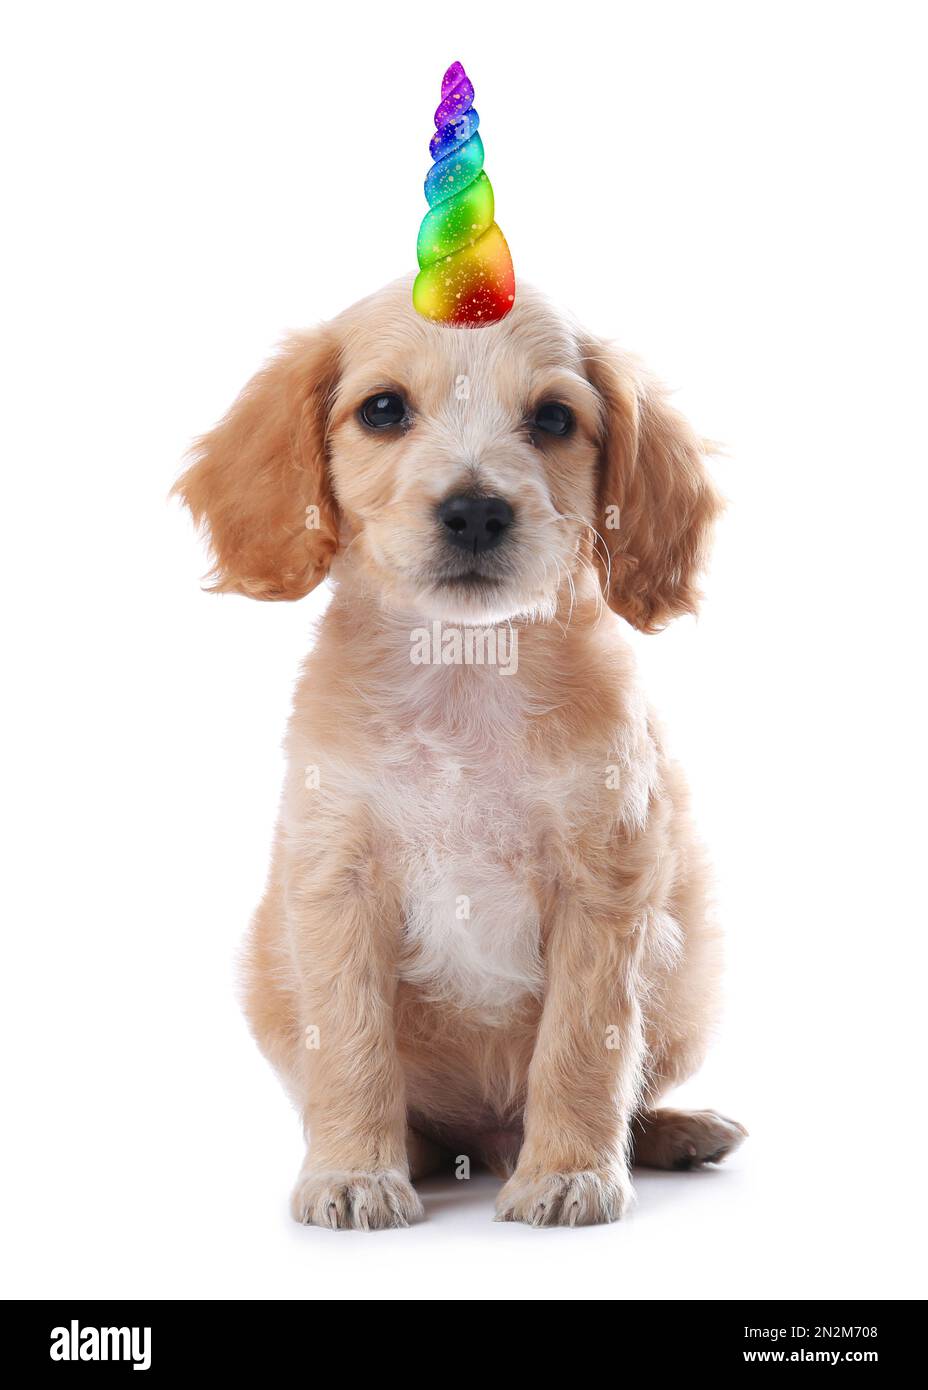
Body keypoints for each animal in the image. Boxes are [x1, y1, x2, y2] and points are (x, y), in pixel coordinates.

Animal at [175, 279, 744, 1228]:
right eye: (382, 409)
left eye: (553, 418)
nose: (476, 509)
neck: (465, 670)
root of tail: (487, 1137)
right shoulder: (336, 881)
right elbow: (352, 1043)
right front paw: (354, 1172)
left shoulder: (606, 883)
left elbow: (585, 1044)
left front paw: (569, 1173)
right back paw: (407, 1152)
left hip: (689, 972)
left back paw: (671, 1131)